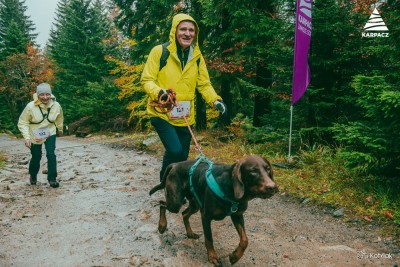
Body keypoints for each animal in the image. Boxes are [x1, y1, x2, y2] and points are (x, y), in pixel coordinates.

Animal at [150, 156, 278, 266]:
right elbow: (209, 238)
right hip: (175, 202)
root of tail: (175, 164)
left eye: (268, 169)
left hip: (195, 205)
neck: (230, 188)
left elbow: (245, 240)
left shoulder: (237, 215)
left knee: (184, 214)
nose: (273, 187)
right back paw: (162, 225)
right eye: (253, 171)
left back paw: (190, 233)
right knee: (162, 204)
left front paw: (235, 256)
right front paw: (212, 257)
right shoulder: (206, 216)